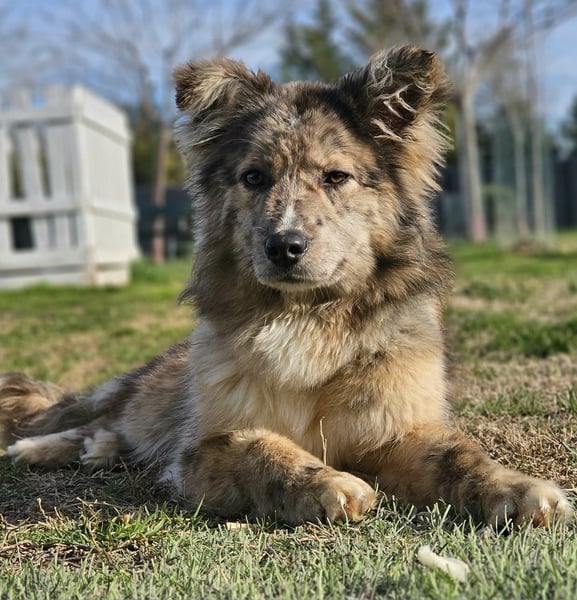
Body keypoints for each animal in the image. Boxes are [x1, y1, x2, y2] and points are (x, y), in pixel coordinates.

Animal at [0, 46, 572, 526]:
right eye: (254, 178)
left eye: (336, 177)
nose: (284, 246)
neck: (307, 316)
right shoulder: (202, 445)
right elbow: (260, 447)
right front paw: (325, 483)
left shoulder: (393, 429)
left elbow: (459, 453)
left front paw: (517, 490)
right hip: (135, 396)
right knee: (92, 418)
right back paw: (44, 448)